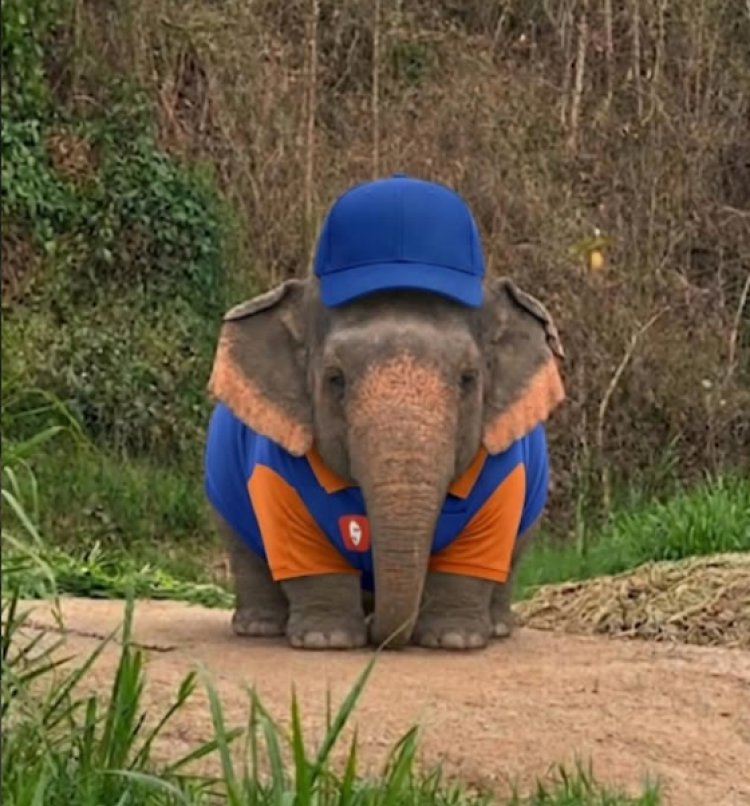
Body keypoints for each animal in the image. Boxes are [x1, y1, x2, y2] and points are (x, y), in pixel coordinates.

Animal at [203, 274, 566, 651]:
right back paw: (260, 627)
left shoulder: (502, 461)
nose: (375, 626)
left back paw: (498, 628)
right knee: (245, 550)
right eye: (335, 378)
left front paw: (454, 640)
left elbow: (478, 547)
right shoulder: (275, 460)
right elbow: (299, 544)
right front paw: (327, 639)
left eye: (468, 378)